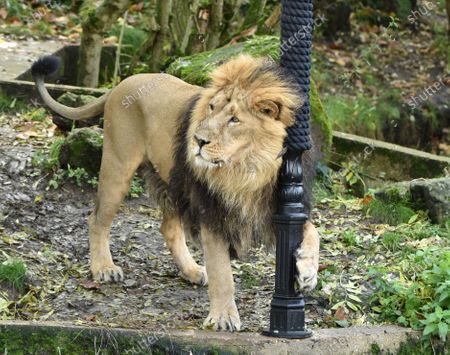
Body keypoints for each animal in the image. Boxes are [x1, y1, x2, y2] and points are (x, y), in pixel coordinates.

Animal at [32, 54, 320, 332]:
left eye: (235, 119)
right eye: (212, 108)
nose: (198, 140)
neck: (246, 170)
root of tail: (123, 82)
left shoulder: (275, 207)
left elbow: (312, 231)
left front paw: (307, 273)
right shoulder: (211, 213)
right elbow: (222, 273)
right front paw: (224, 317)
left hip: (172, 182)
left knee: (168, 228)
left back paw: (192, 270)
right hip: (118, 167)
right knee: (97, 219)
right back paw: (104, 268)